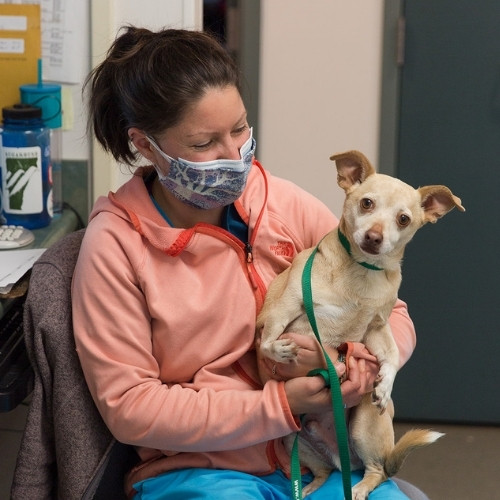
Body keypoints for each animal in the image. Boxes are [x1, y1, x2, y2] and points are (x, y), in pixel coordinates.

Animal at [258, 150, 464, 498]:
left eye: (403, 219)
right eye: (366, 203)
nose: (374, 237)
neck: (362, 271)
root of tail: (343, 458)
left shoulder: (376, 328)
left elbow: (391, 356)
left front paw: (384, 385)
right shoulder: (286, 304)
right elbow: (266, 338)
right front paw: (278, 350)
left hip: (361, 427)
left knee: (377, 471)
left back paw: (358, 487)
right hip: (291, 436)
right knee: (324, 471)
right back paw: (309, 488)